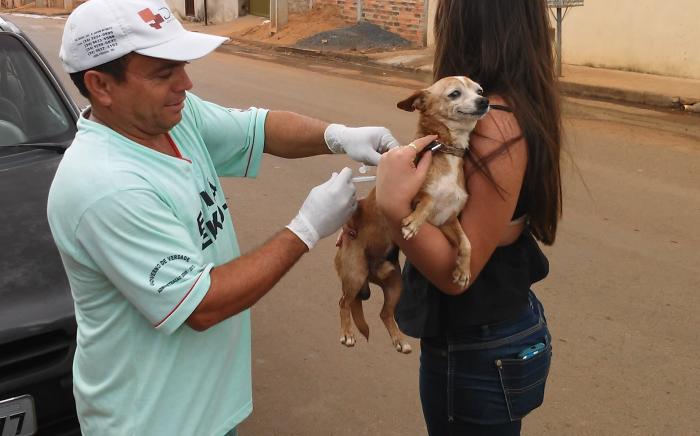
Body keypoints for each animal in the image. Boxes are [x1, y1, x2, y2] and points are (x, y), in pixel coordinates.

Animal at [334, 76, 490, 352]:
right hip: (355, 272)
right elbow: (427, 199)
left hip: (395, 285)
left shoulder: (447, 220)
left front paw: (462, 271)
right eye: (455, 93)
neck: (445, 149)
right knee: (343, 302)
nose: (485, 101)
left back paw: (399, 340)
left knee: (384, 313)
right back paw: (347, 333)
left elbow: (466, 242)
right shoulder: (411, 194)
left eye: (479, 90)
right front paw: (412, 224)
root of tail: (371, 275)